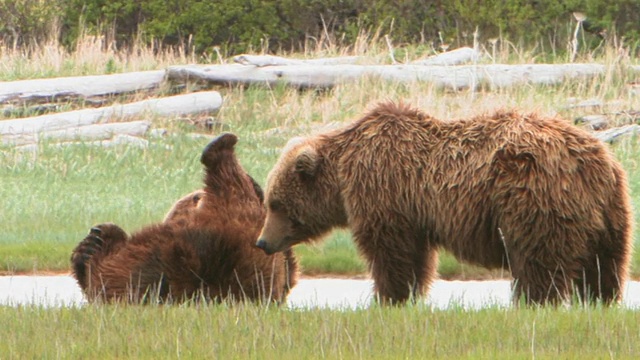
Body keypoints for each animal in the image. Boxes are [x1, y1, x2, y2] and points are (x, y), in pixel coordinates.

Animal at [254, 101, 632, 306]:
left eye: (275, 203)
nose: (262, 241)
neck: (344, 175)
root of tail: (594, 160)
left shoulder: (385, 190)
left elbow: (390, 253)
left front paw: (385, 298)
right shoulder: (412, 211)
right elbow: (416, 257)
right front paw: (409, 296)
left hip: (532, 195)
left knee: (538, 261)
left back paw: (531, 302)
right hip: (612, 210)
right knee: (604, 265)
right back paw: (598, 301)